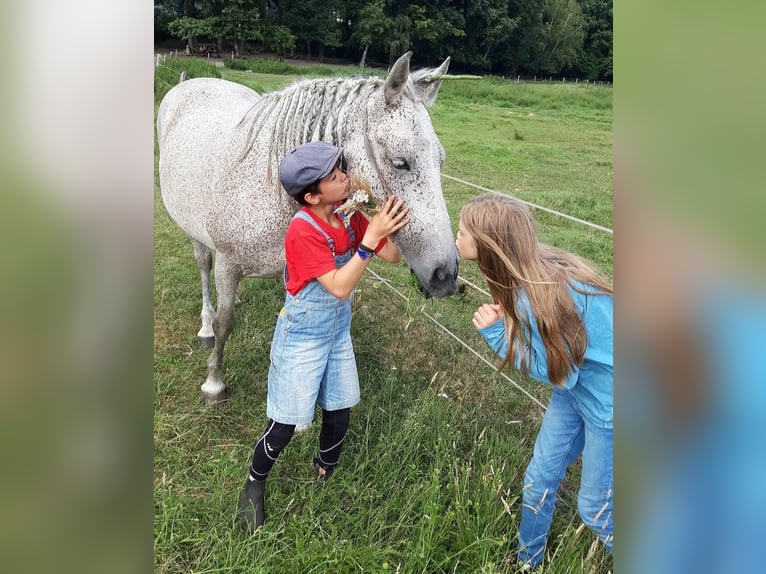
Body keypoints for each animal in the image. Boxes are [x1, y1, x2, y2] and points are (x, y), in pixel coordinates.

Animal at [154, 53, 456, 404]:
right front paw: (214, 382)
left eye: (441, 160)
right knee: (204, 265)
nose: (445, 274)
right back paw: (204, 325)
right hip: (193, 231)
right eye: (400, 162)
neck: (273, 184)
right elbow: (224, 324)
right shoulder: (228, 265)